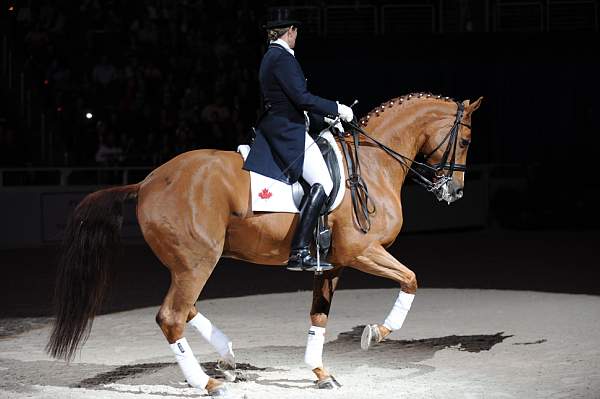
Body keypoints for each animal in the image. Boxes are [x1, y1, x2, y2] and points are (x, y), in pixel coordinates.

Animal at [47, 94, 482, 396]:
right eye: (464, 140)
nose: (456, 192)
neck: (372, 165)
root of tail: (147, 181)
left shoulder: (334, 263)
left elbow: (319, 315)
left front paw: (320, 372)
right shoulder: (363, 252)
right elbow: (410, 280)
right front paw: (376, 333)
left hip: (191, 262)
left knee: (185, 309)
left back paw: (227, 357)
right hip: (197, 261)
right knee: (171, 316)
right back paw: (207, 383)